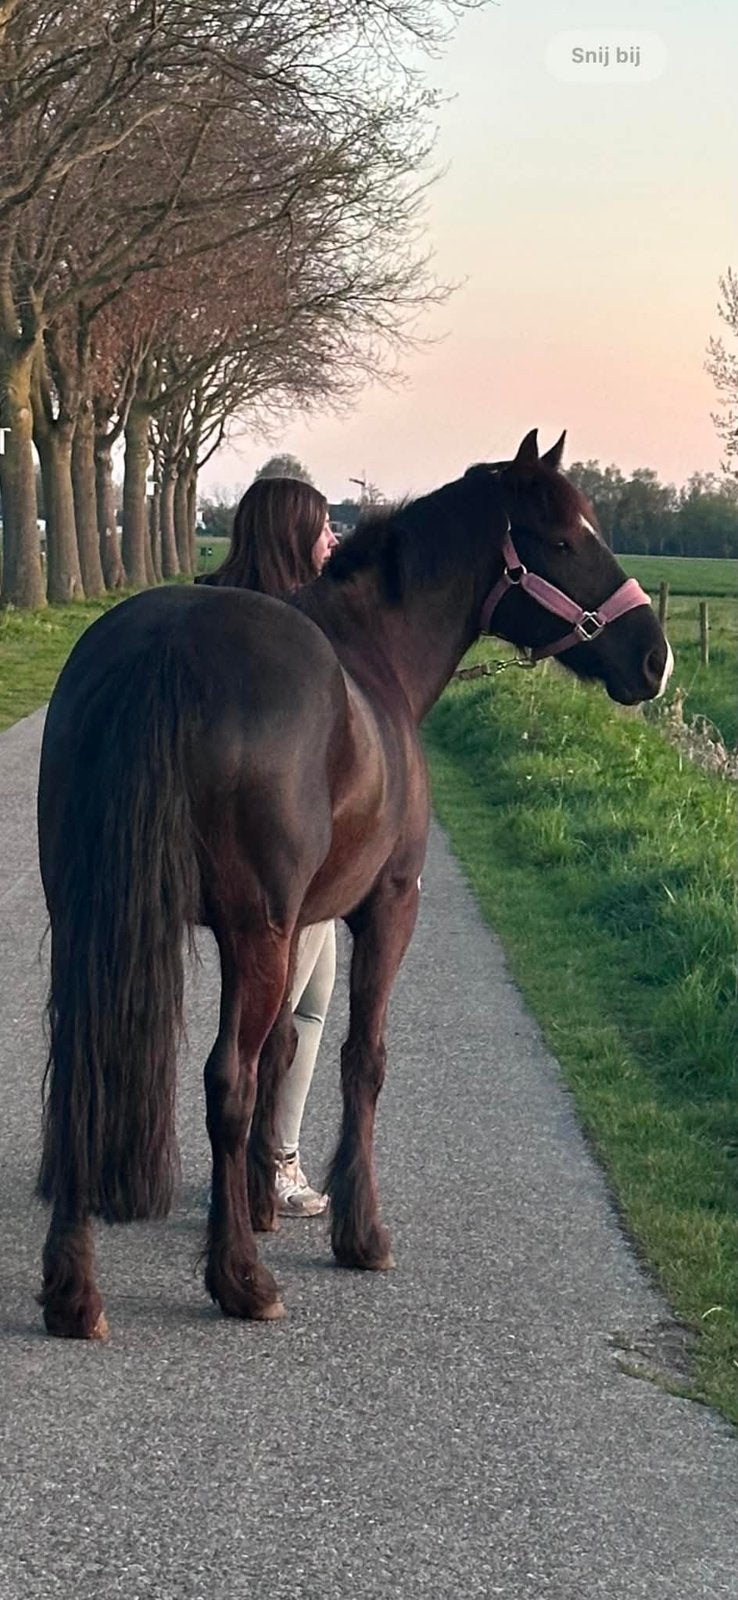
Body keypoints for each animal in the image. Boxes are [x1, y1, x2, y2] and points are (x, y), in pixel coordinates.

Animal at [36, 429, 672, 1339]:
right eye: (561, 540)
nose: (653, 658)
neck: (376, 658)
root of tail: (166, 647)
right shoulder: (388, 906)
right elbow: (358, 1058)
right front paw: (359, 1232)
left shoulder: (301, 923)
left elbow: (283, 1051)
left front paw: (266, 1198)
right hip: (252, 933)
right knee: (224, 1084)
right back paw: (241, 1280)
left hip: (94, 917)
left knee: (82, 1070)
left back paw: (73, 1291)